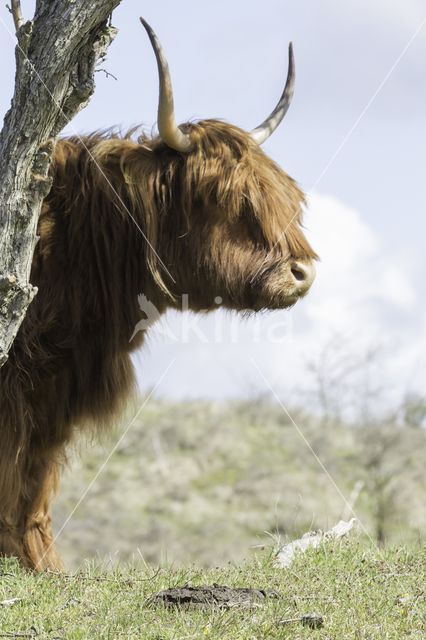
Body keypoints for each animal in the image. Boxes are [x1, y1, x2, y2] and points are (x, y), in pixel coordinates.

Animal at [0, 18, 316, 568]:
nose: (302, 273)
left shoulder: (55, 383)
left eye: (289, 199)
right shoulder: (22, 373)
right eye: (229, 199)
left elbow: (35, 476)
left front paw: (41, 564)